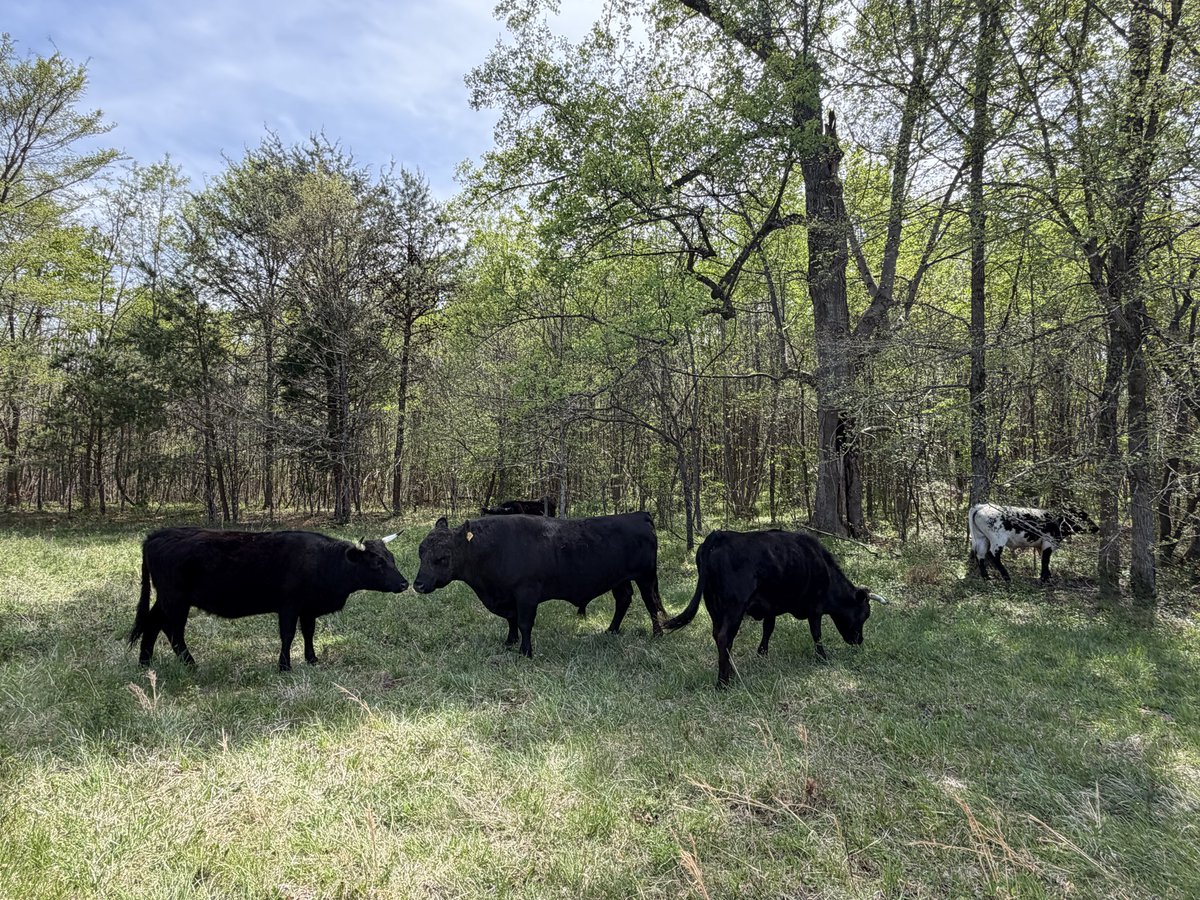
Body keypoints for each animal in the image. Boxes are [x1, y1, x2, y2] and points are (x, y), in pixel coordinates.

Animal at [128, 528, 409, 671]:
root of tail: (157, 535)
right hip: (175, 600)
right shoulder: (289, 606)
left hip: (166, 599)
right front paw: (284, 666)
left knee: (152, 623)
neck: (325, 561)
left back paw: (145, 663)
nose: (405, 583)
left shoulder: (308, 608)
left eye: (391, 558)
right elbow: (288, 635)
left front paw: (312, 659)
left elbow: (308, 633)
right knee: (173, 632)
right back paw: (191, 665)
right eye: (377, 562)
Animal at [412, 512, 663, 658]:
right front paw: (509, 642)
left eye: (442, 557)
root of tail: (638, 515)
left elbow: (524, 623)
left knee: (651, 604)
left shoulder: (526, 594)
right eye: (421, 552)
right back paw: (611, 630)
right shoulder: (508, 597)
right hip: (618, 579)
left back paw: (657, 634)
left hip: (645, 577)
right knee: (623, 599)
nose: (419, 585)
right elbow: (511, 619)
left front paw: (525, 652)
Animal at [660, 529, 883, 687]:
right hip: (734, 606)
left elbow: (768, 629)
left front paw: (762, 654)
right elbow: (816, 634)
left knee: (718, 636)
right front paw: (822, 657)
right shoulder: (815, 607)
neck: (825, 570)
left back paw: (730, 672)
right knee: (724, 637)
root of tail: (718, 535)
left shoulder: (770, 606)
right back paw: (723, 682)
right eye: (864, 615)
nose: (859, 640)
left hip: (713, 604)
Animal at [968, 503, 1098, 583]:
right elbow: (1046, 560)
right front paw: (1044, 579)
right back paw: (1007, 577)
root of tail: (982, 506)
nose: (1097, 527)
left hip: (981, 538)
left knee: (980, 555)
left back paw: (986, 578)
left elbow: (1044, 560)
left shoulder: (1041, 546)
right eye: (1082, 516)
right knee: (993, 555)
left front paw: (1047, 576)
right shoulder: (1048, 542)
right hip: (997, 539)